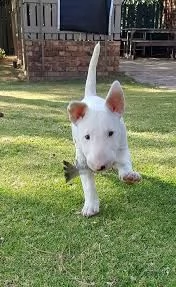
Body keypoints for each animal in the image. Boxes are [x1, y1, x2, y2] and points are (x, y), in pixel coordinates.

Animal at [66, 42, 141, 217]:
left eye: (111, 133)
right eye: (87, 137)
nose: (100, 166)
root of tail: (91, 96)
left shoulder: (122, 144)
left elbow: (125, 162)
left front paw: (129, 175)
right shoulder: (82, 158)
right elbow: (88, 183)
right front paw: (90, 206)